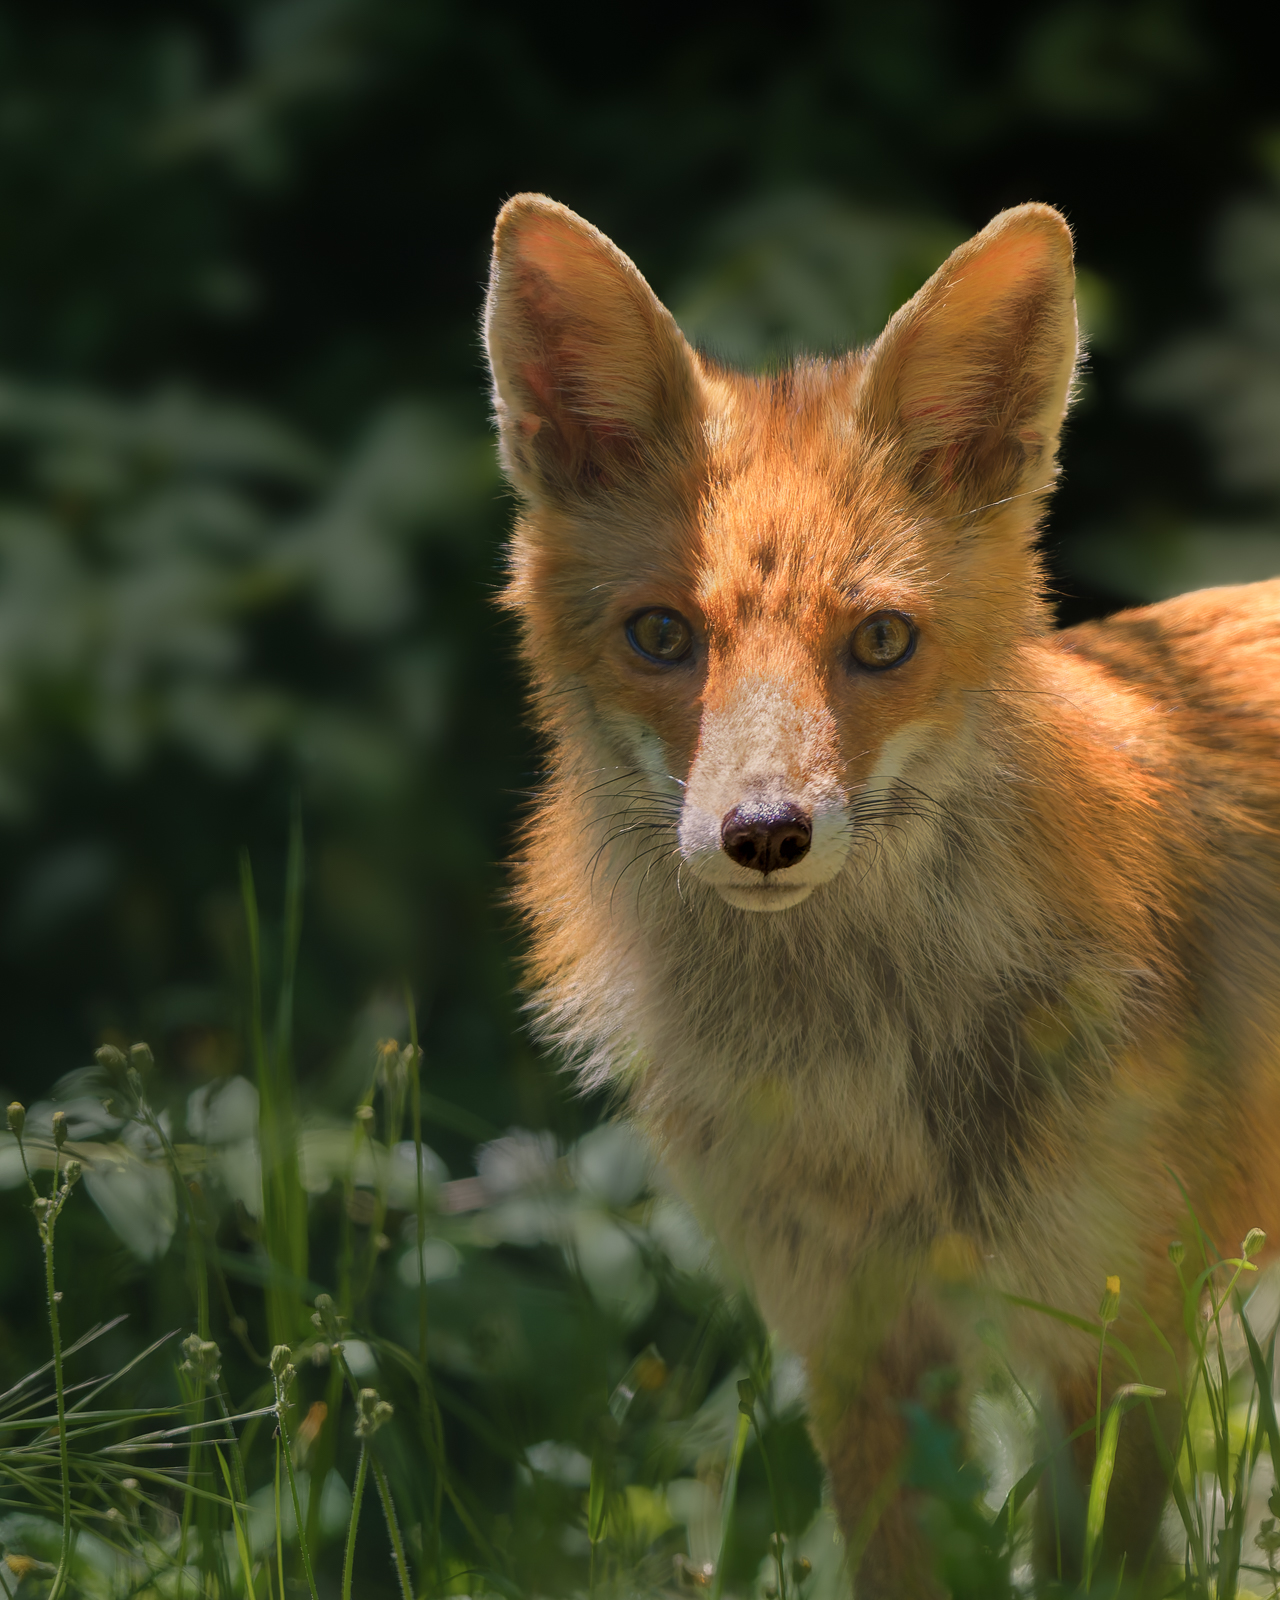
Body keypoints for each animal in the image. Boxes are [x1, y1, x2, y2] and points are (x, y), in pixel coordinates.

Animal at [482, 192, 1280, 1594]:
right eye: (660, 635)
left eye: (880, 640)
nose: (762, 834)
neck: (864, 1077)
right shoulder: (852, 1337)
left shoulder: (1123, 1330)